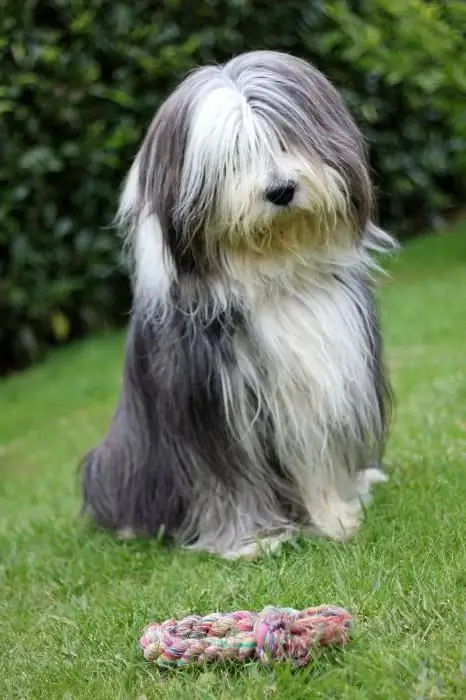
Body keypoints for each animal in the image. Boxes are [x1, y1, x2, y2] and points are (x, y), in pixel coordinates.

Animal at [81, 49, 396, 560]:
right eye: (231, 160)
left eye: (285, 138)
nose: (281, 190)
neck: (272, 274)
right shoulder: (210, 408)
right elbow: (227, 484)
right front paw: (253, 541)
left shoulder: (321, 383)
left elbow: (318, 460)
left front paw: (334, 517)